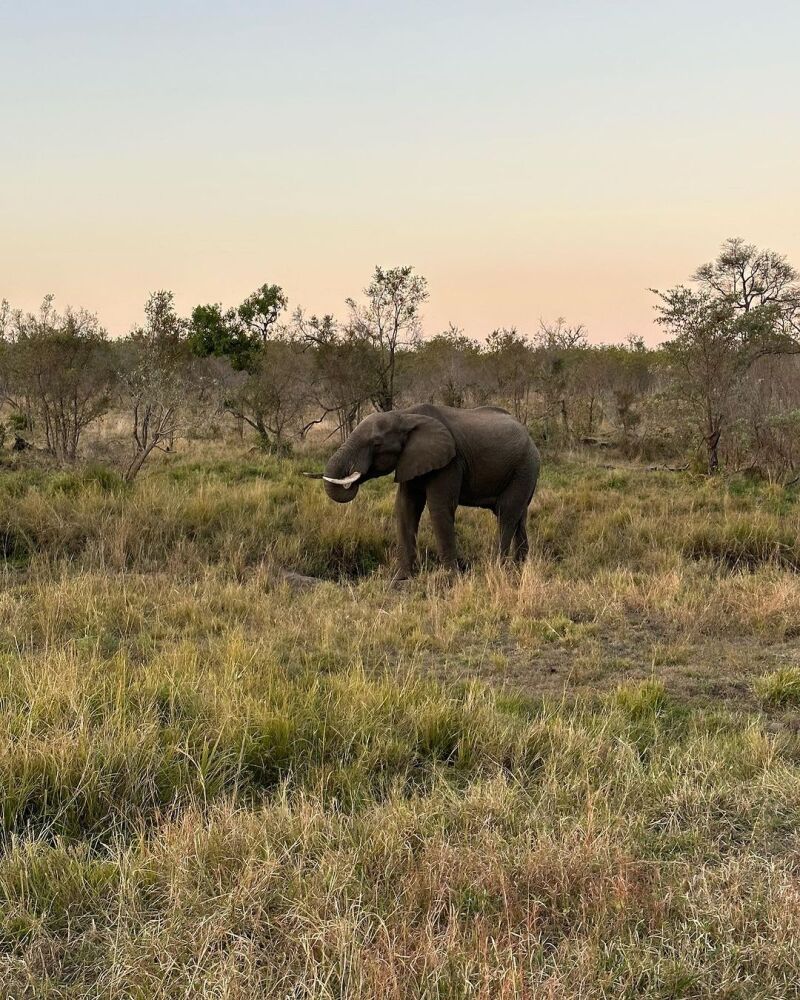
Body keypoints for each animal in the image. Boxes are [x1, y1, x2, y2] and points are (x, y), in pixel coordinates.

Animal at [306, 404, 536, 580]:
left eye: (377, 443)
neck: (405, 415)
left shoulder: (450, 462)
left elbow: (439, 508)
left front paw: (450, 577)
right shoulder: (410, 459)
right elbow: (406, 507)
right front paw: (401, 578)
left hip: (524, 467)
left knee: (506, 513)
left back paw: (499, 567)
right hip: (524, 471)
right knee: (519, 516)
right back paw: (520, 565)